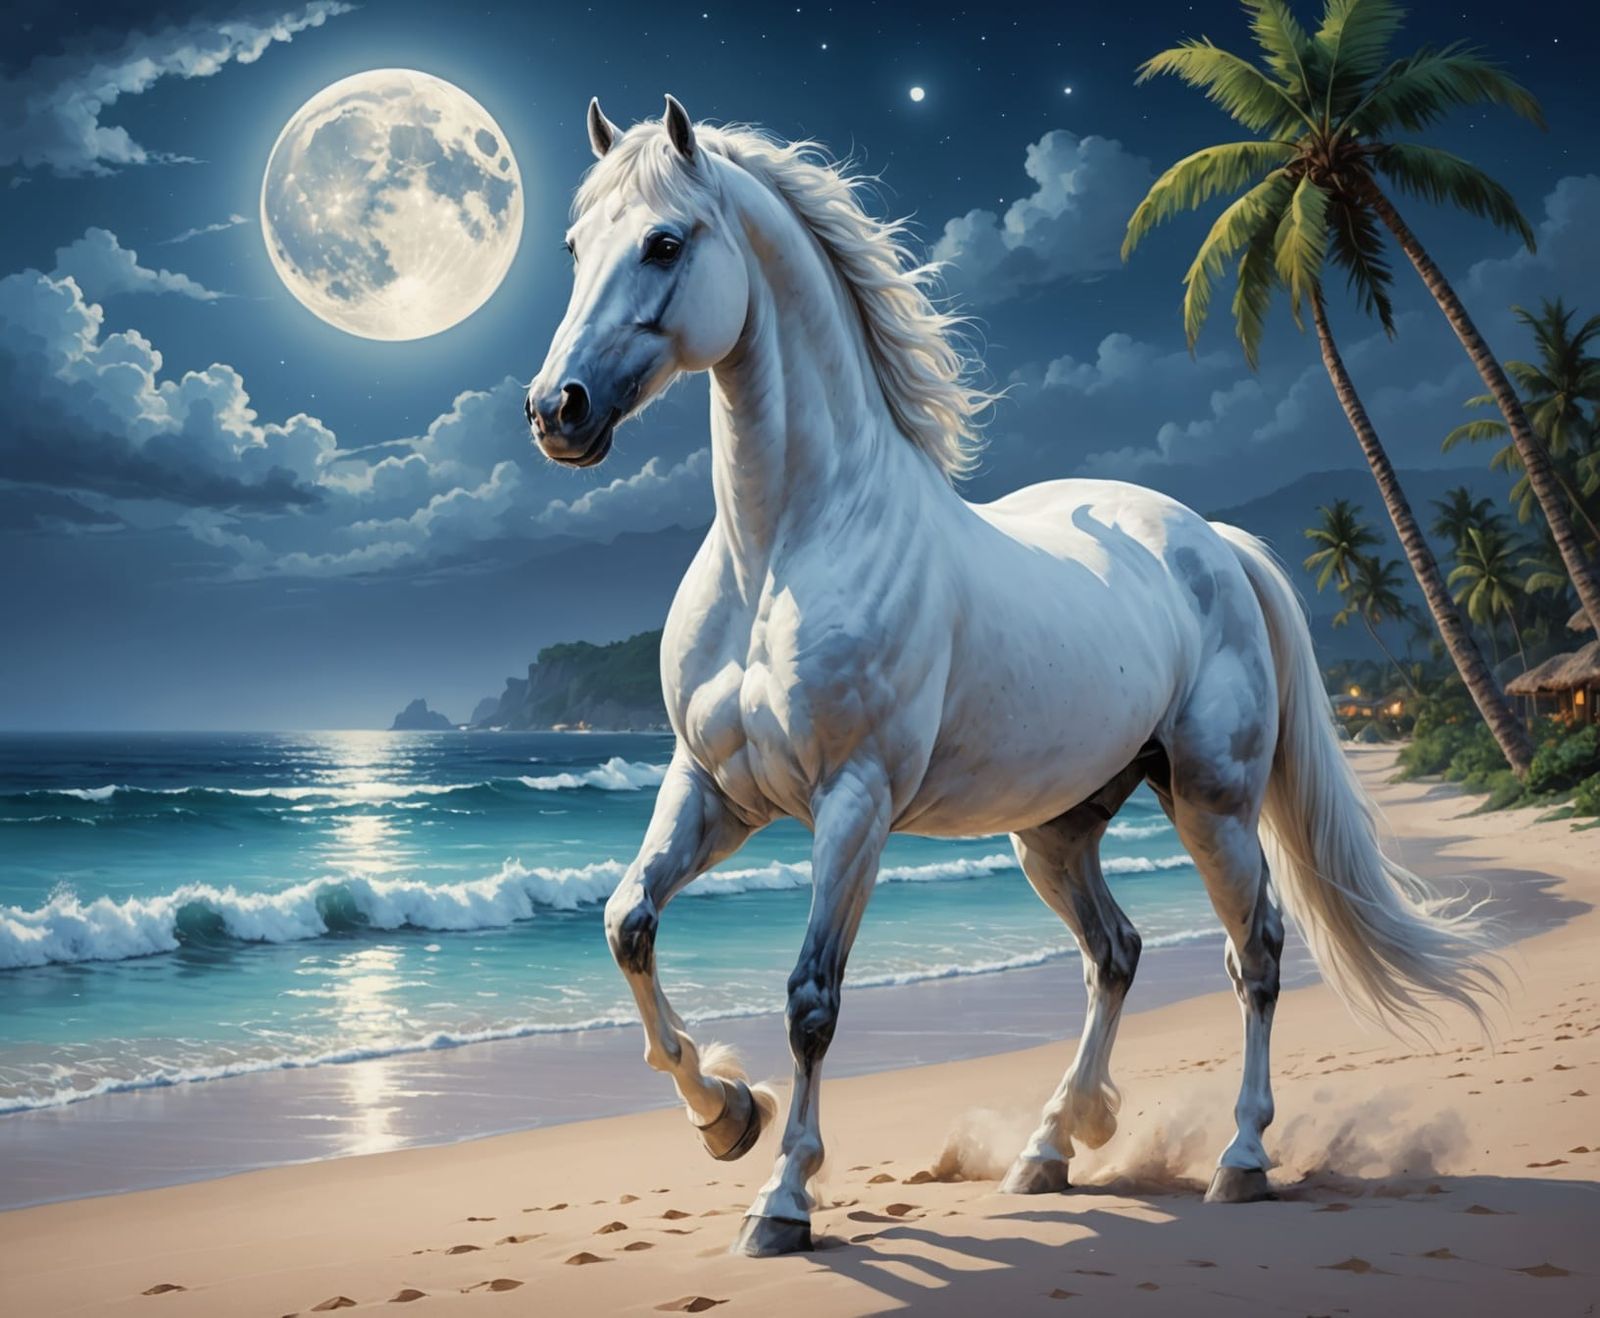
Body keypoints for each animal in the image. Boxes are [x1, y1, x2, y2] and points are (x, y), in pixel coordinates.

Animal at [524, 95, 1498, 1258]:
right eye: (574, 246)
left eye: (665, 243)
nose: (557, 410)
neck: (788, 547)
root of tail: (1212, 540)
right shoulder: (712, 789)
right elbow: (627, 922)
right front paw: (726, 1116)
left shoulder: (852, 803)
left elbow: (812, 998)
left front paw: (782, 1198)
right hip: (1057, 828)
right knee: (1116, 952)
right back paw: (1049, 1147)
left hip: (1211, 802)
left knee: (1254, 949)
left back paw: (1240, 1159)